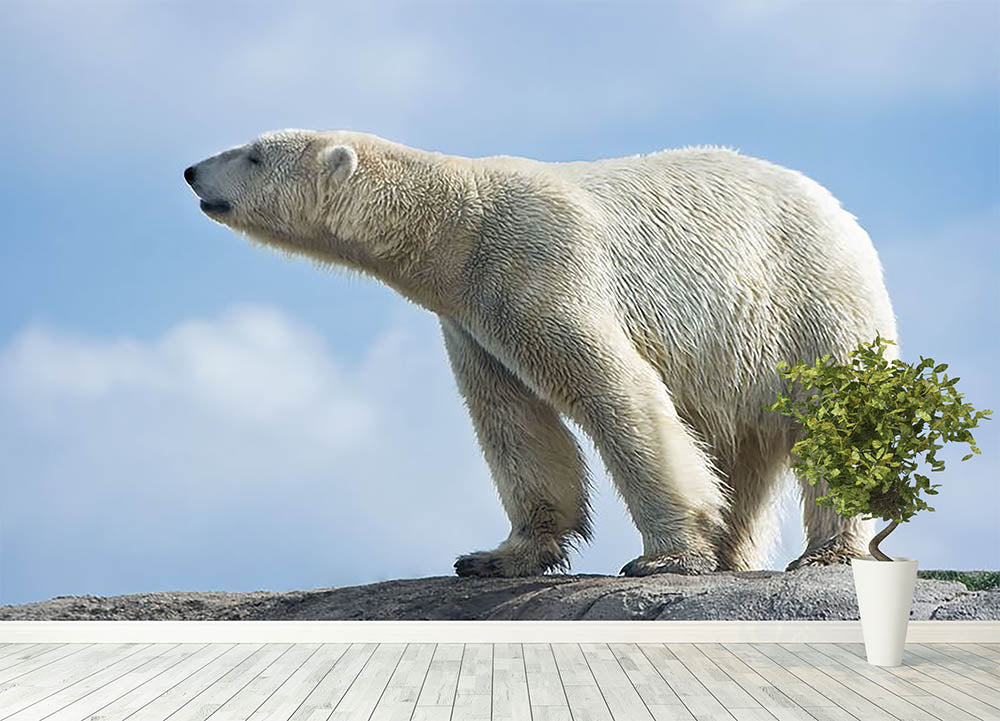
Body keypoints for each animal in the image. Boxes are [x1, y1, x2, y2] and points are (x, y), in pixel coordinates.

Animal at [184, 130, 896, 577]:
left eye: (252, 154)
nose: (191, 170)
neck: (459, 222)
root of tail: (833, 206)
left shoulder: (539, 261)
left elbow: (618, 390)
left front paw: (664, 557)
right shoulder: (472, 317)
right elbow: (513, 420)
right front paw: (496, 556)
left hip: (806, 304)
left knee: (836, 418)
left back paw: (829, 552)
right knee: (735, 451)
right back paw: (733, 550)